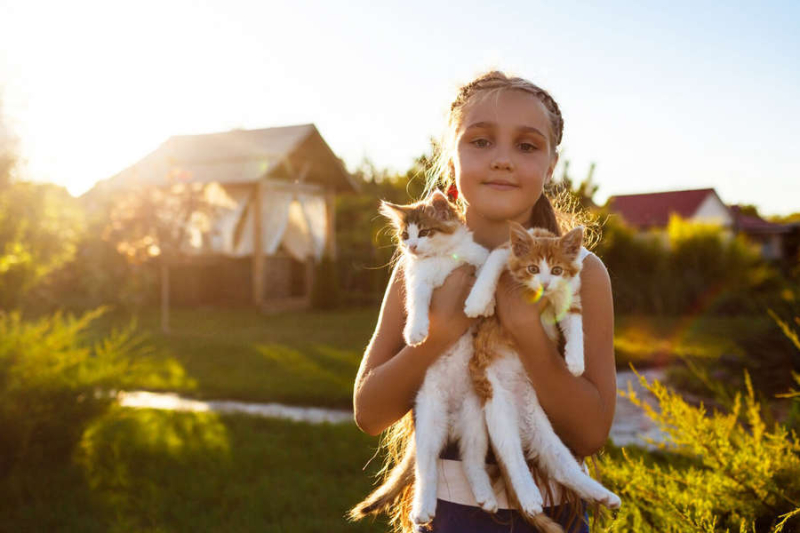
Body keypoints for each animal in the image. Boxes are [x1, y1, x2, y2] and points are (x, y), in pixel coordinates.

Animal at [352, 190, 496, 524]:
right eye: (405, 235)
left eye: (426, 232)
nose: (412, 247)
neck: (442, 258)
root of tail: (452, 419)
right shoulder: (418, 279)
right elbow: (417, 301)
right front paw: (416, 330)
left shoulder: (478, 258)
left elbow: (489, 269)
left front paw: (480, 302)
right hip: (430, 420)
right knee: (427, 469)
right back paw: (423, 508)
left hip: (475, 422)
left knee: (472, 461)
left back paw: (484, 494)